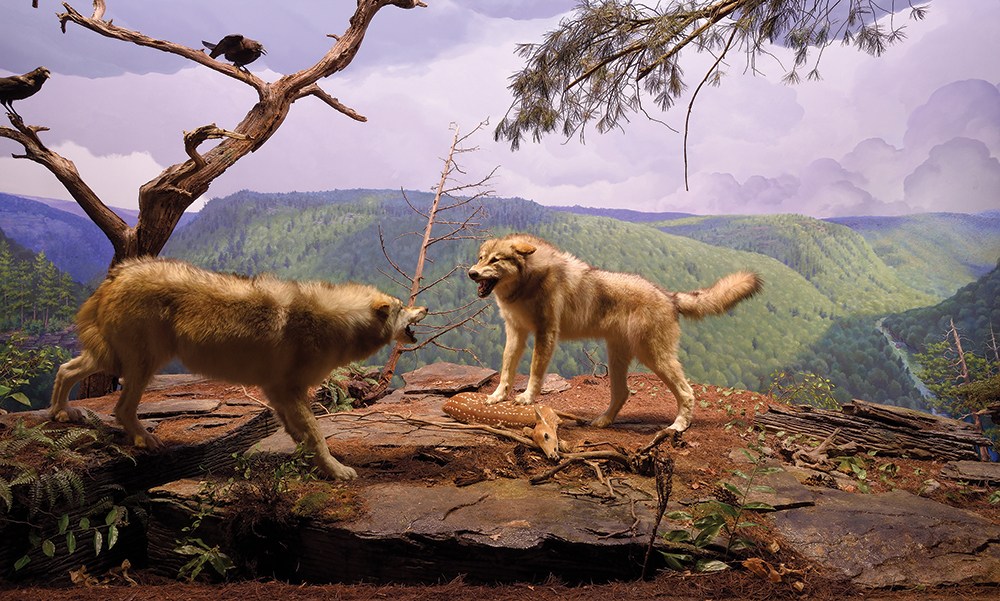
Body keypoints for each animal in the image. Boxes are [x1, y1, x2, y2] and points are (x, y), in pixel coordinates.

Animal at [49, 258, 427, 480]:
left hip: (114, 359)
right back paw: (145, 438)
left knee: (65, 369)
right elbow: (317, 434)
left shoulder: (277, 393)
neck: (336, 323)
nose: (423, 308)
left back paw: (62, 413)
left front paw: (310, 462)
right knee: (120, 408)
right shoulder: (289, 390)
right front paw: (336, 471)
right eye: (401, 307)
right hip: (141, 366)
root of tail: (117, 274)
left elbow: (301, 434)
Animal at [468, 233, 761, 435]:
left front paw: (527, 398)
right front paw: (497, 397)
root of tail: (670, 296)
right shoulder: (515, 332)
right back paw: (603, 421)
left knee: (687, 392)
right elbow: (507, 369)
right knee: (623, 393)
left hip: (654, 358)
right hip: (618, 357)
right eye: (481, 257)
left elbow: (534, 373)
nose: (470, 273)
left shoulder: (546, 333)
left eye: (495, 260)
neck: (528, 281)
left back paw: (678, 426)